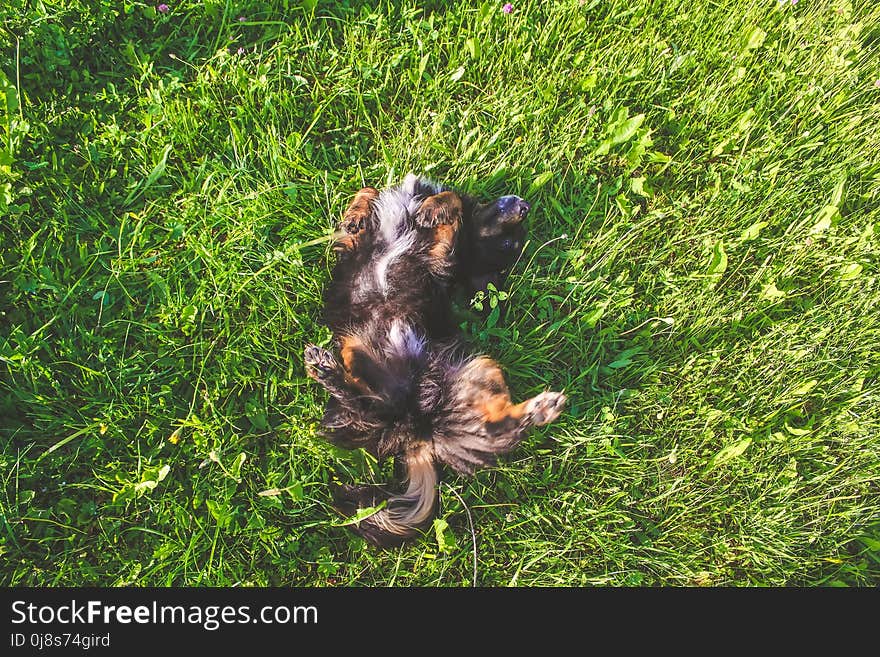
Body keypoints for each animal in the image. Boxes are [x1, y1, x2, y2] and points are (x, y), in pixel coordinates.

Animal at [304, 174, 564, 548]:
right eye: (508, 241)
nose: (525, 207)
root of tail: (419, 426)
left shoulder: (442, 257)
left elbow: (451, 202)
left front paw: (432, 210)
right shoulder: (356, 245)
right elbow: (369, 193)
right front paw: (358, 213)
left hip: (472, 370)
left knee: (373, 409)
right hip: (407, 360)